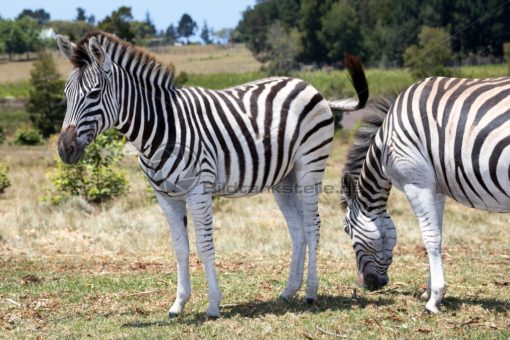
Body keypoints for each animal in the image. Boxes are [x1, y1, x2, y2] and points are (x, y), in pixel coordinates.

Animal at [55, 30, 368, 318]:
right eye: (66, 94)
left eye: (94, 94)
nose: (64, 149)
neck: (162, 128)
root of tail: (310, 87)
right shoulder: (165, 196)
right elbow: (180, 248)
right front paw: (178, 304)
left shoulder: (198, 190)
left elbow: (204, 246)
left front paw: (214, 305)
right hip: (284, 179)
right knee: (298, 229)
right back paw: (289, 291)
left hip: (309, 166)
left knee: (313, 225)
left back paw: (312, 293)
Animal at [338, 75, 510, 314]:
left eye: (347, 229)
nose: (368, 285)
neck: (386, 143)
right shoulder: (435, 188)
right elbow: (437, 236)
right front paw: (430, 292)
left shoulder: (417, 183)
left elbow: (430, 238)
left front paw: (434, 300)